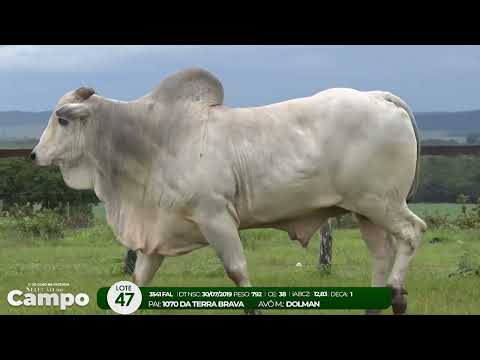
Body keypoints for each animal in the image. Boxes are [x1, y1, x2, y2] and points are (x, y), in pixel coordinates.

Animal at [31, 68, 426, 316]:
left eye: (62, 119)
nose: (35, 154)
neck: (154, 140)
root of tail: (379, 97)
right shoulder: (157, 232)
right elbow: (139, 280)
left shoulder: (216, 217)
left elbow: (236, 271)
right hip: (365, 211)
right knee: (381, 253)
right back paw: (374, 303)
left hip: (381, 203)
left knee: (412, 233)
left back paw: (397, 293)